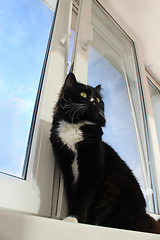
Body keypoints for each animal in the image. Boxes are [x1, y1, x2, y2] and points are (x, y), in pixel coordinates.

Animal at [49, 72, 160, 234]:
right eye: (83, 94)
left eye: (97, 99)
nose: (94, 102)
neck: (76, 124)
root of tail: (141, 214)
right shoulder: (66, 168)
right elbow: (72, 195)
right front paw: (71, 217)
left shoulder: (92, 169)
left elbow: (83, 197)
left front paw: (74, 218)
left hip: (115, 184)